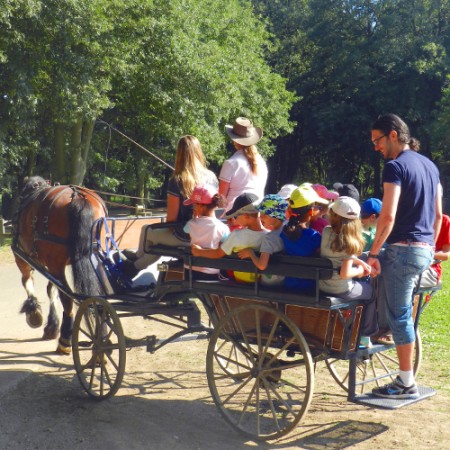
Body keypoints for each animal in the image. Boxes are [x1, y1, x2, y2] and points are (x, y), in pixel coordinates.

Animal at [12, 176, 107, 356]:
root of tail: (77, 196)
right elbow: (51, 289)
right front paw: (51, 326)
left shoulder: (22, 257)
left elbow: (28, 282)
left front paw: (34, 312)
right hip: (95, 258)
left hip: (53, 264)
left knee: (68, 299)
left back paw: (65, 341)